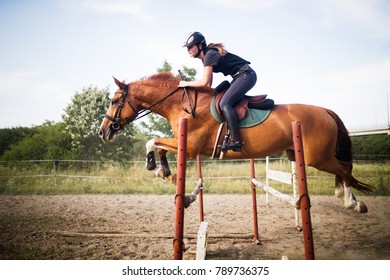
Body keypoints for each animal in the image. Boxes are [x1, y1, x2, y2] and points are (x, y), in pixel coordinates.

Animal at [99, 71, 374, 212]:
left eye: (113, 101)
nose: (103, 132)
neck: (181, 103)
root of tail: (326, 111)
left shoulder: (190, 147)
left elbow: (152, 141)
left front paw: (154, 167)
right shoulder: (182, 143)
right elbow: (158, 145)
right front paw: (164, 171)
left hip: (318, 157)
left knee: (345, 168)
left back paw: (352, 202)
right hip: (297, 154)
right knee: (343, 169)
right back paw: (342, 197)